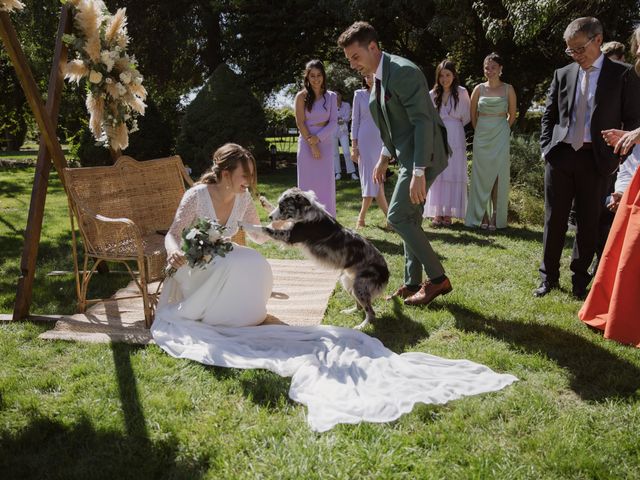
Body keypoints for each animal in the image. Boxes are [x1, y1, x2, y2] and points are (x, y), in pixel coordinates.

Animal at [246, 188, 388, 330]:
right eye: (279, 204)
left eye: (283, 206)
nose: (270, 217)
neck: (306, 212)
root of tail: (386, 272)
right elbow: (278, 220)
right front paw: (264, 203)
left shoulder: (289, 237)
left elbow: (265, 228)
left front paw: (246, 225)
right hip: (348, 283)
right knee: (360, 306)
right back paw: (349, 312)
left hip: (360, 287)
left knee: (371, 312)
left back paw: (361, 326)